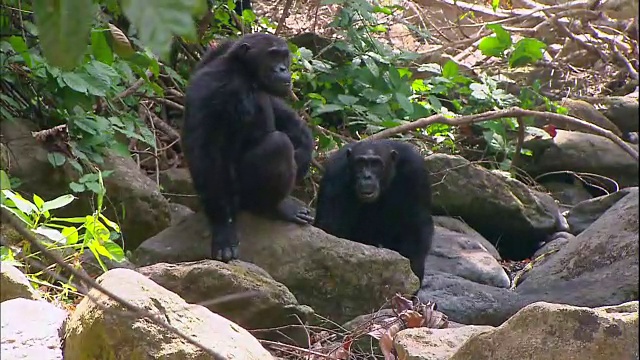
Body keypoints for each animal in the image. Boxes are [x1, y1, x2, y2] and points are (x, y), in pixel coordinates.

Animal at [182, 33, 316, 262]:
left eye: (284, 55)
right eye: (272, 56)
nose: (282, 68)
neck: (246, 74)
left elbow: (274, 104)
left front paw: (305, 142)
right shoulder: (214, 87)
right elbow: (205, 153)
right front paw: (223, 229)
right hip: (242, 196)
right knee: (278, 145)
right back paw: (278, 207)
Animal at [314, 139, 436, 282]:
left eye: (376, 164)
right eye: (360, 164)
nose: (367, 176)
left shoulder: (416, 171)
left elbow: (416, 225)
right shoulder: (335, 172)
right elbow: (331, 226)